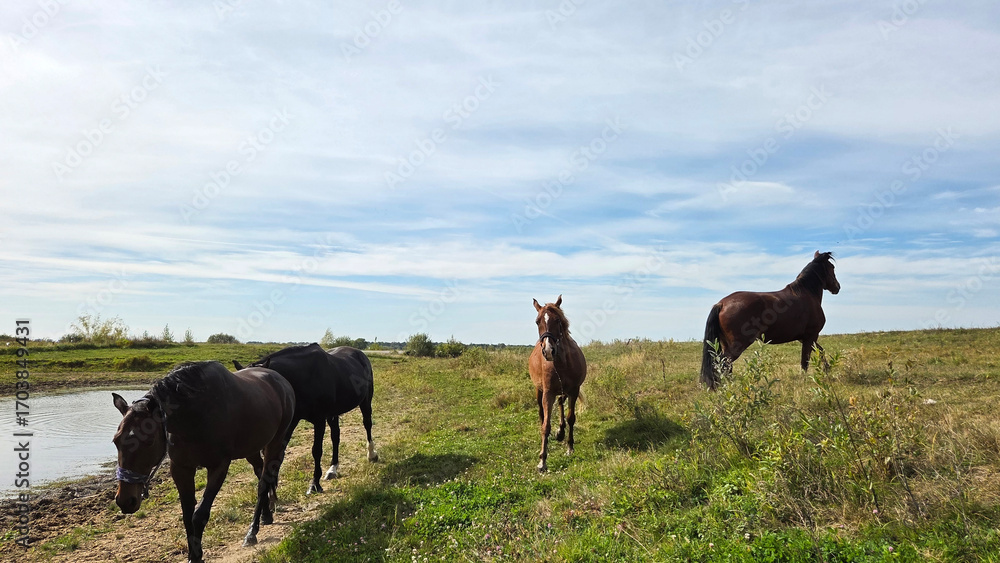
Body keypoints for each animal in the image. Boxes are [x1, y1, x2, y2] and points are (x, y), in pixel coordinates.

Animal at [112, 361, 294, 562]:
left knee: (264, 482)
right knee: (261, 474)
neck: (195, 416)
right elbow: (187, 514)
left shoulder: (218, 467)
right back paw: (265, 516)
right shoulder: (181, 468)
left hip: (275, 442)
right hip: (252, 449)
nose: (125, 500)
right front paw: (193, 554)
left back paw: (252, 533)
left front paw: (197, 555)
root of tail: (279, 379)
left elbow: (199, 515)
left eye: (148, 441)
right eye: (116, 441)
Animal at [234, 343, 377, 494]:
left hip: (366, 401)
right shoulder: (291, 422)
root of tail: (360, 354)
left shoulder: (319, 421)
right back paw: (332, 469)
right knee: (335, 436)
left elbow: (316, 451)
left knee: (367, 424)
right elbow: (279, 453)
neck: (304, 378)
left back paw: (372, 454)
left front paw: (314, 484)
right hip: (333, 414)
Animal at [529, 295, 587, 472]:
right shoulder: (548, 393)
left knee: (561, 403)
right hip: (539, 391)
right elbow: (546, 425)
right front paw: (542, 460)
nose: (548, 350)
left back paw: (561, 433)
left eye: (558, 320)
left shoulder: (574, 390)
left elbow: (571, 418)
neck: (562, 363)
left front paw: (570, 447)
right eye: (537, 321)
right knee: (542, 413)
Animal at [699, 251, 841, 390]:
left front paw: (827, 369)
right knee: (724, 362)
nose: (837, 287)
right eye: (832, 267)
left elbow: (820, 351)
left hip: (725, 344)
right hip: (738, 344)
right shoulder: (811, 335)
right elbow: (805, 361)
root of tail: (722, 304)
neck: (807, 293)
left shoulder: (805, 338)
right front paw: (805, 380)